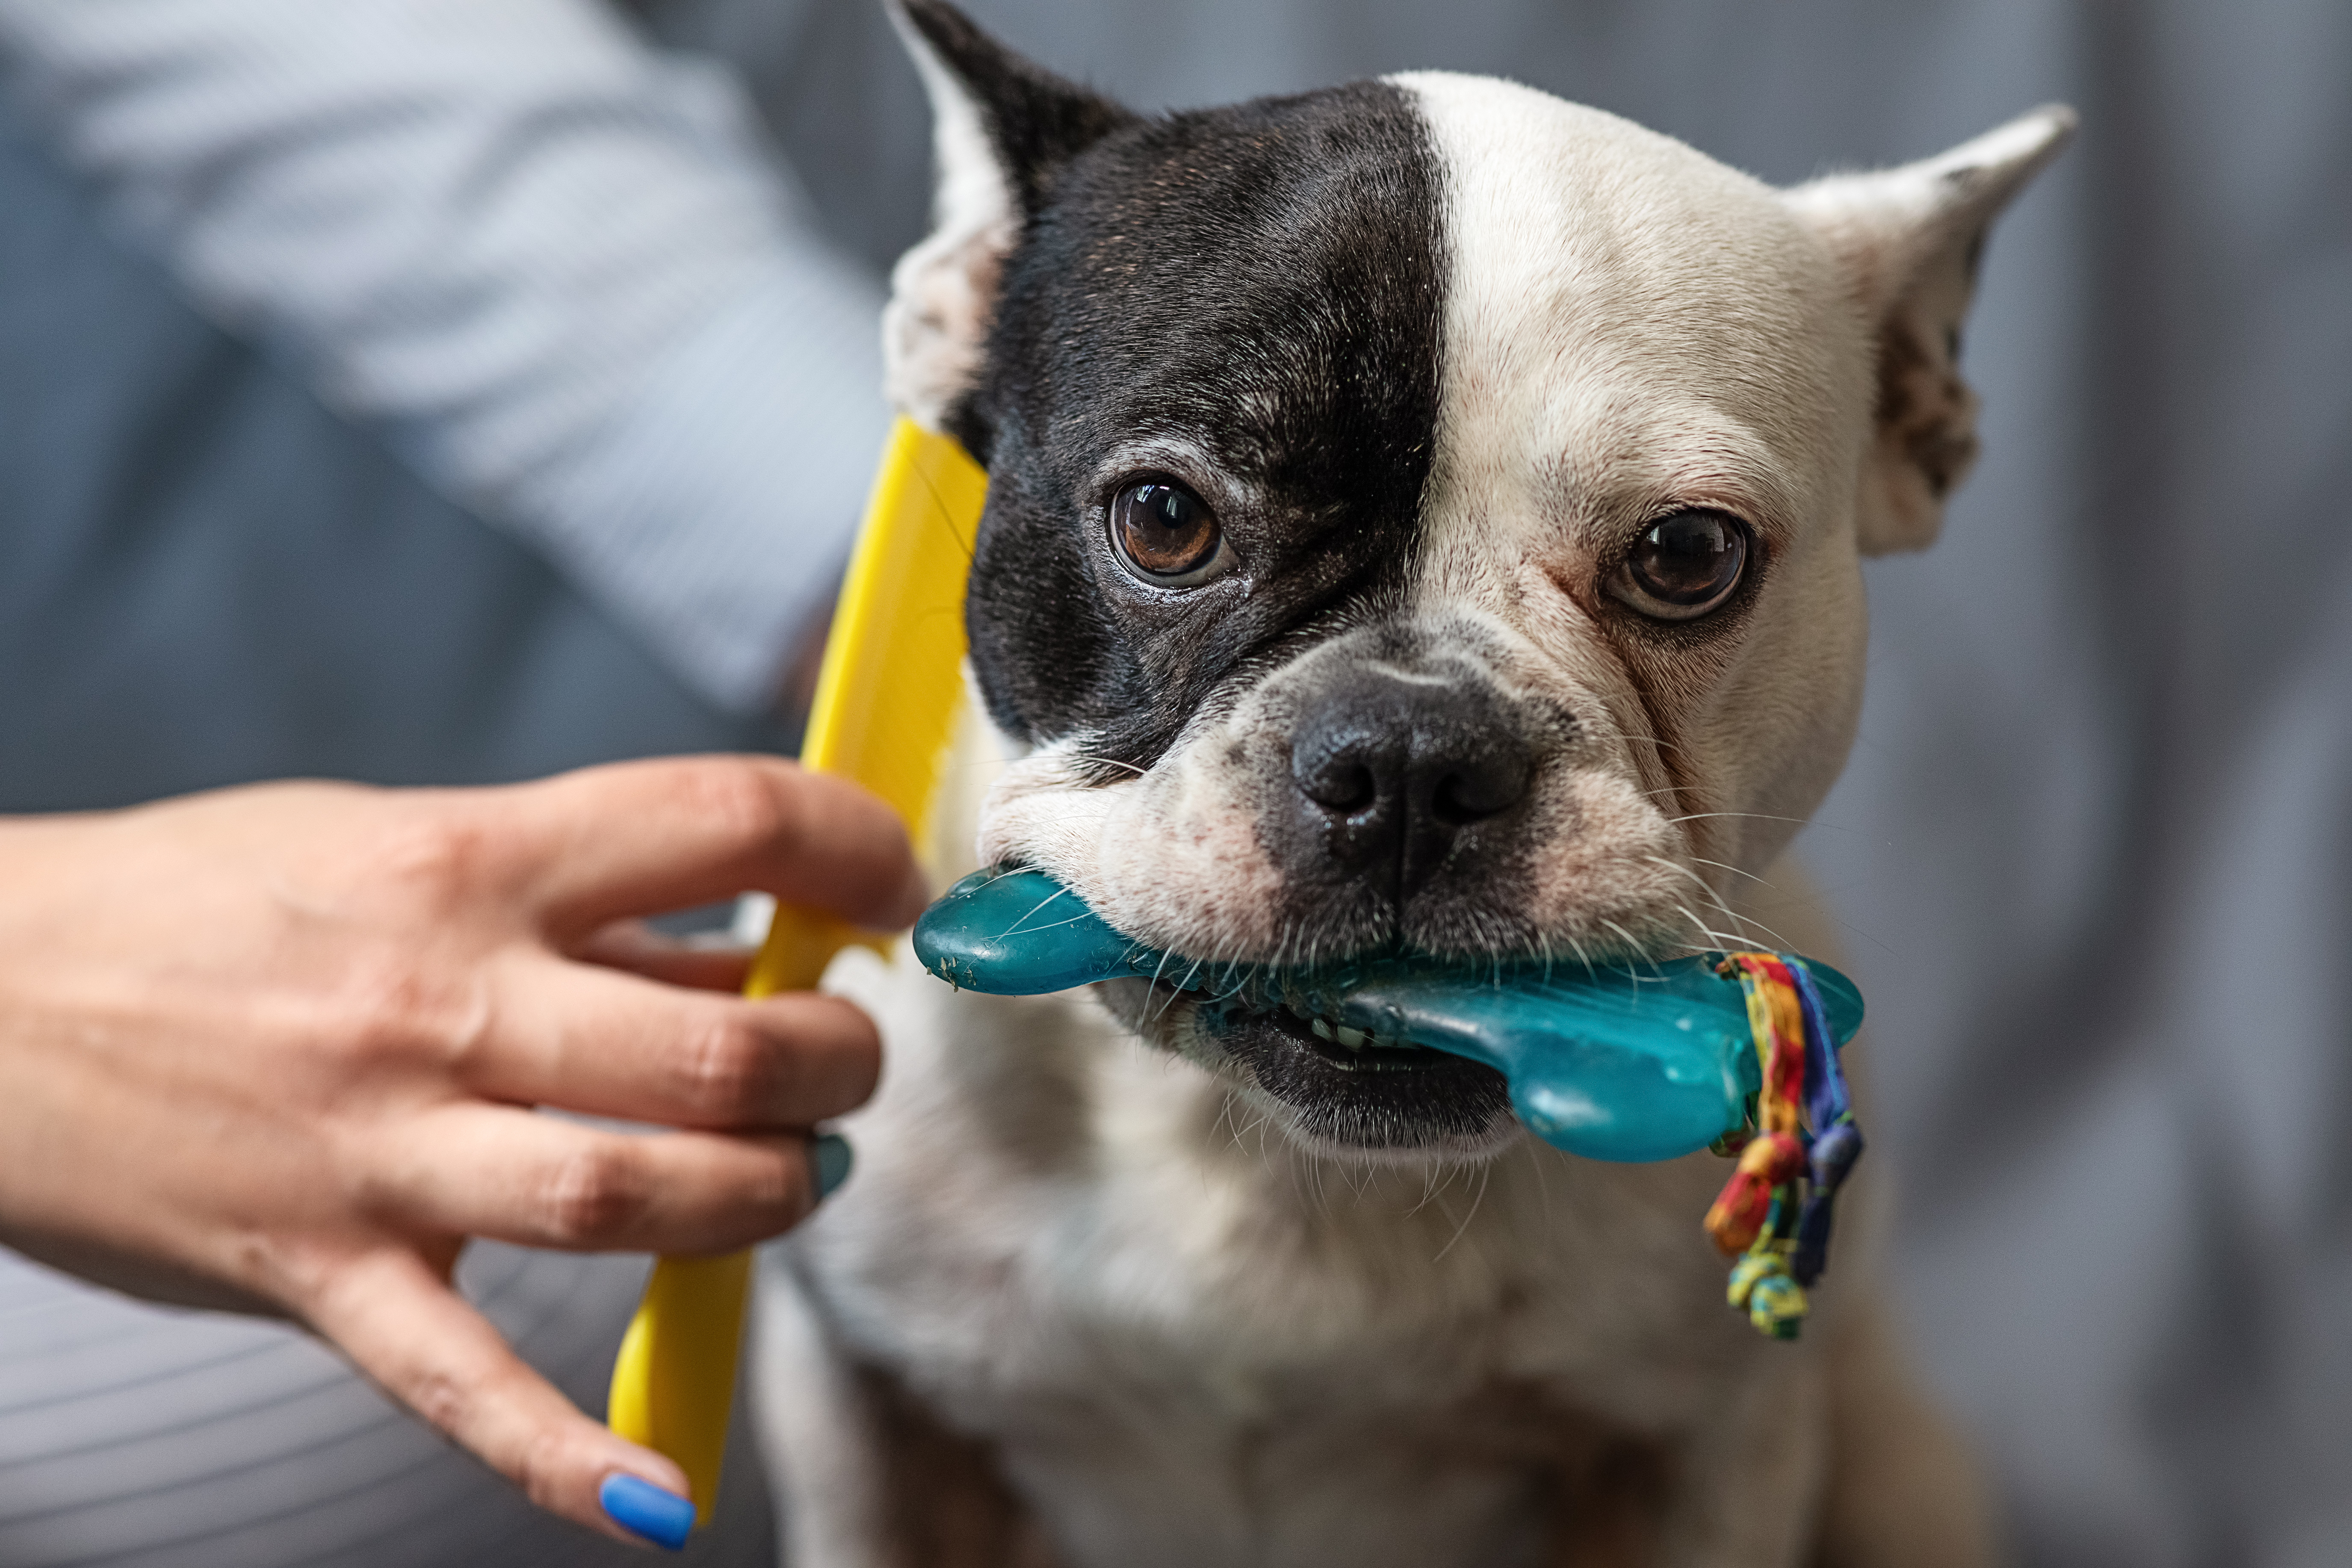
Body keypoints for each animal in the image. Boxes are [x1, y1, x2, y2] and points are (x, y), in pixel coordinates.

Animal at [748, 6, 2060, 1561]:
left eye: (1688, 554)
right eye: (1164, 518)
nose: (1412, 754)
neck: (1276, 1168)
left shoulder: (1693, 1458)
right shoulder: (868, 1409)